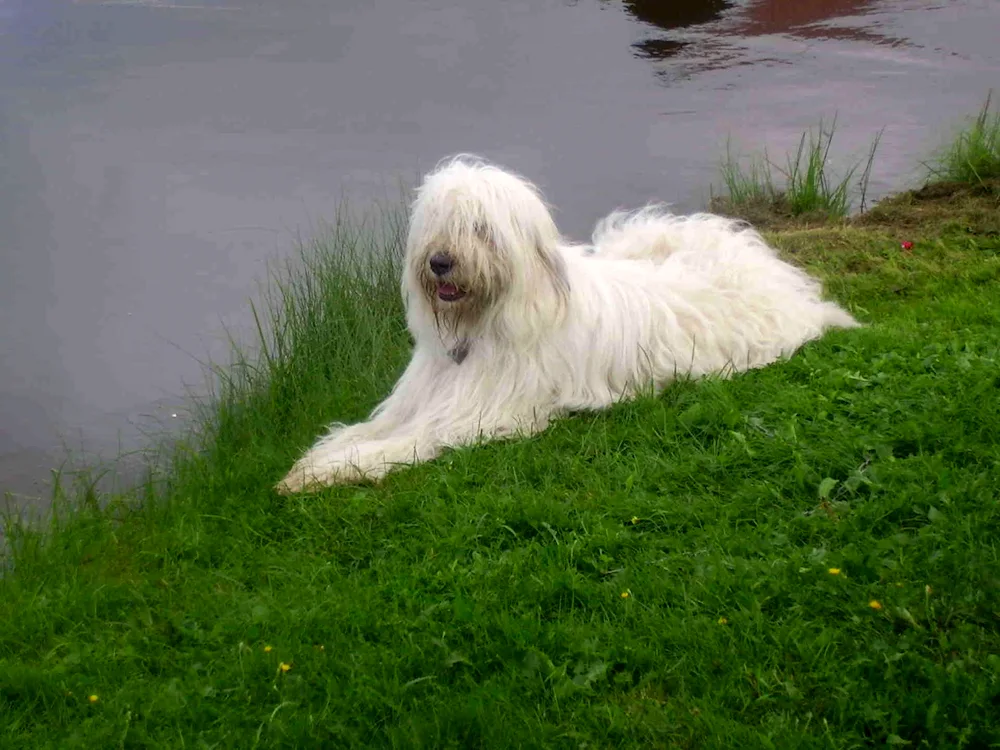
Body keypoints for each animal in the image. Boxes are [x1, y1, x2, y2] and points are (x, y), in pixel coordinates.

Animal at [276, 156, 860, 496]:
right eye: (437, 225)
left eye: (481, 229)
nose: (441, 262)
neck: (480, 327)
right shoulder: (419, 397)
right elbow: (370, 429)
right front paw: (316, 458)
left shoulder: (477, 416)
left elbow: (405, 443)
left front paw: (325, 472)